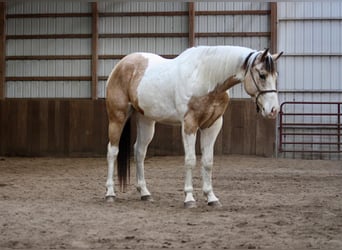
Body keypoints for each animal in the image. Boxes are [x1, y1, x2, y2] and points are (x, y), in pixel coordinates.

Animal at [105, 46, 282, 208]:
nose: (273, 110)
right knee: (112, 151)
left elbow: (208, 161)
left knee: (139, 152)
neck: (205, 77)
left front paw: (211, 197)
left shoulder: (212, 126)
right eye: (262, 75)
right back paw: (110, 193)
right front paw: (189, 198)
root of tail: (121, 65)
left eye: (275, 76)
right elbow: (190, 160)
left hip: (146, 120)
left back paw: (145, 193)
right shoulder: (189, 124)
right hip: (117, 117)